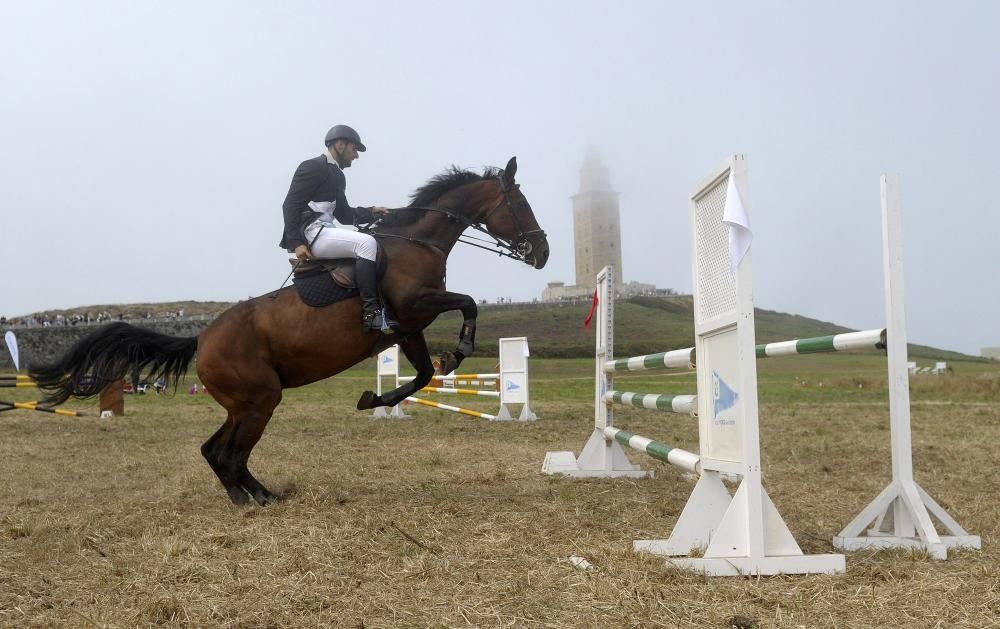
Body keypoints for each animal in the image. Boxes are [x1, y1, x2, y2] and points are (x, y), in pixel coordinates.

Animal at [31, 156, 552, 506]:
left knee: (216, 450)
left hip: (244, 403)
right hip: (259, 400)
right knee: (229, 454)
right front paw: (459, 349)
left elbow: (423, 375)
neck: (415, 243)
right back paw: (254, 499)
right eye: (519, 202)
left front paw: (376, 397)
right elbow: (467, 304)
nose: (543, 252)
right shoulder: (413, 307)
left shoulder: (408, 329)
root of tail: (201, 338)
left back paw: (256, 495)